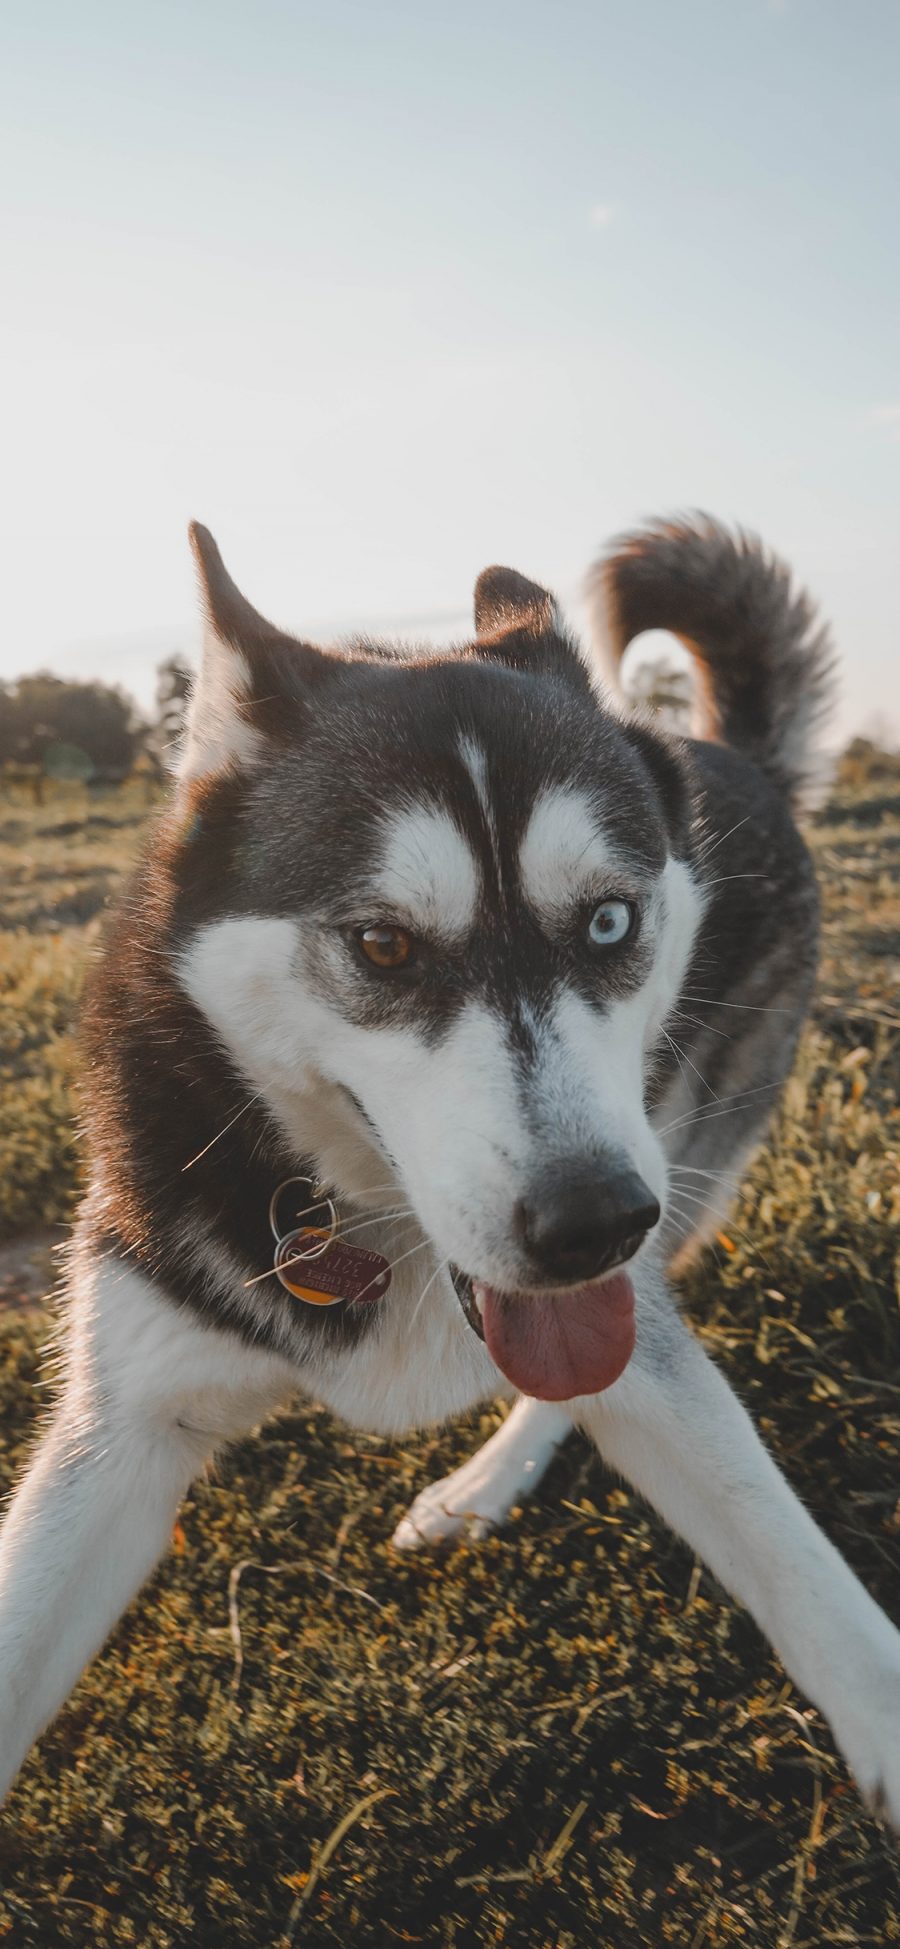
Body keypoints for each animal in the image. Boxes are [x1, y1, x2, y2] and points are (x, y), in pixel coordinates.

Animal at [1, 510, 900, 1816]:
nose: (592, 1222)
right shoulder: (121, 1421)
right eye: (382, 943)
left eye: (612, 921)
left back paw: (485, 1478)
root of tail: (732, 758)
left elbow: (778, 1540)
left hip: (691, 1150)